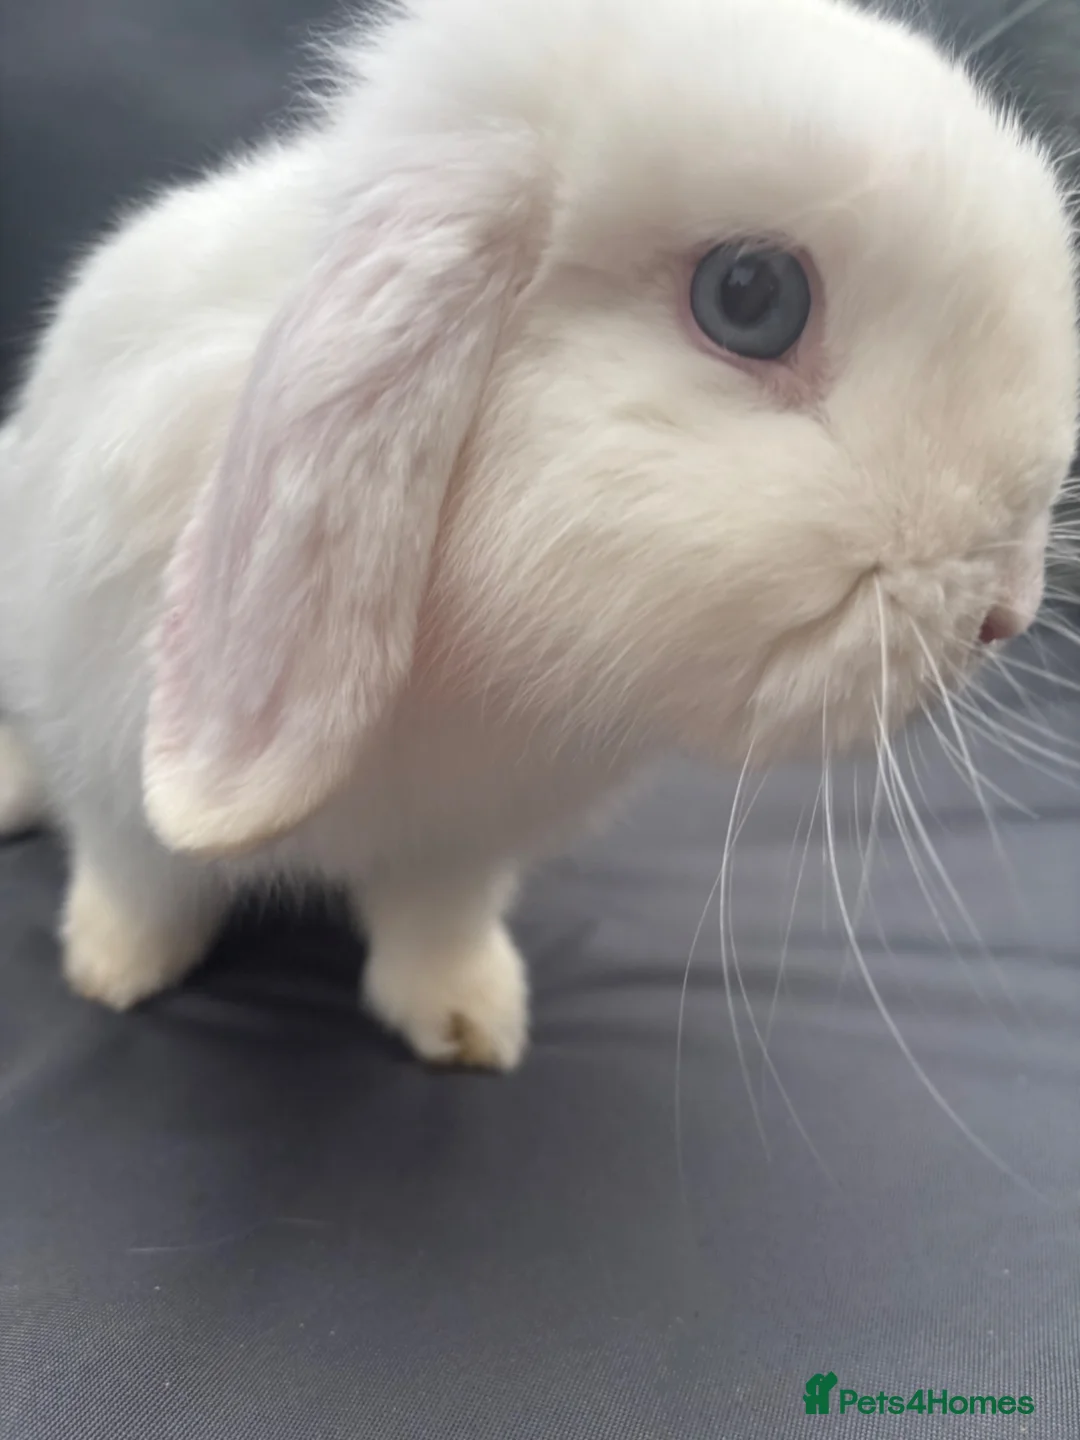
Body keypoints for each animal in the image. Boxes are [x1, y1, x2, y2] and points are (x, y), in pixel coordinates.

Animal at [0, 0, 1076, 1071]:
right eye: (749, 296)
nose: (1008, 611)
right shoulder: (113, 780)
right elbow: (143, 882)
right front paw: (113, 972)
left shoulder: (458, 847)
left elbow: (435, 926)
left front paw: (472, 1023)